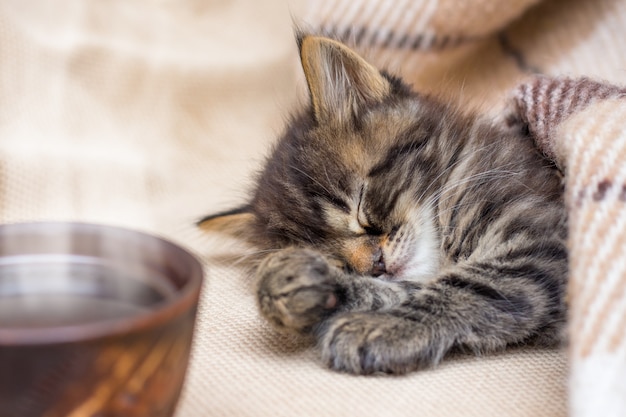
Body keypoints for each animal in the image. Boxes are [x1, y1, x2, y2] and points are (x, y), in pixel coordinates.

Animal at [199, 35, 564, 374]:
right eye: (331, 258)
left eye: (360, 207)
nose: (376, 265)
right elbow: (408, 287)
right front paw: (309, 285)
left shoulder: (541, 238)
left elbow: (470, 286)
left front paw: (384, 327)